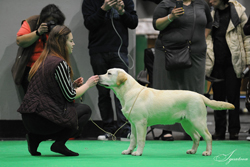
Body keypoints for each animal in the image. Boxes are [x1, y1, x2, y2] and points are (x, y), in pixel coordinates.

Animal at [98, 68, 235, 157]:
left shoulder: (141, 123)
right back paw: (192, 151)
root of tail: (200, 96)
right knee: (196, 137)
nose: (98, 77)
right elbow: (132, 139)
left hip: (198, 121)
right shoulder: (133, 124)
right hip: (187, 123)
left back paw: (208, 152)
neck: (128, 91)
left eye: (109, 73)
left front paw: (138, 152)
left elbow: (141, 139)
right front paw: (129, 151)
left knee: (207, 136)